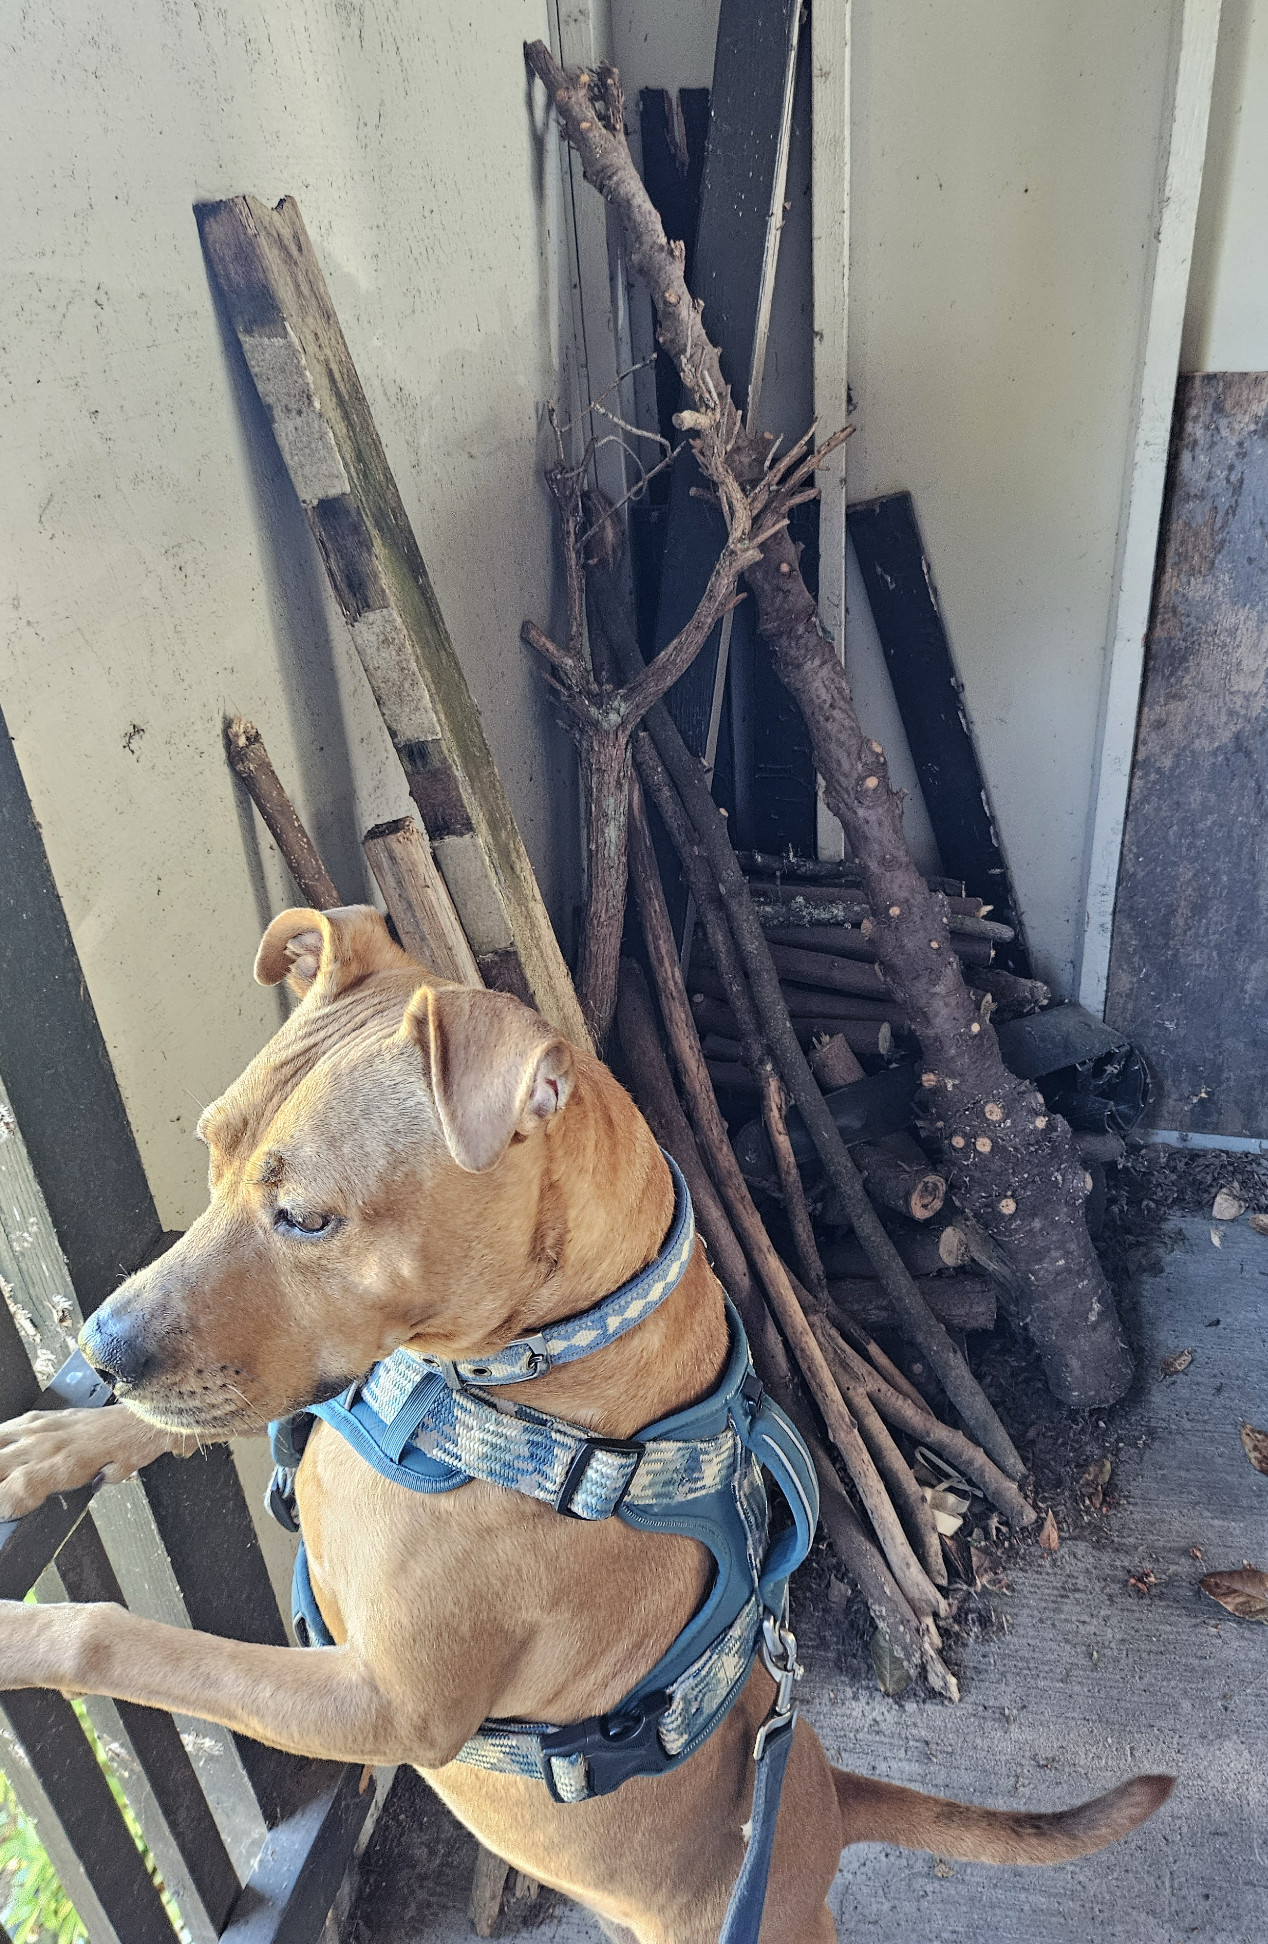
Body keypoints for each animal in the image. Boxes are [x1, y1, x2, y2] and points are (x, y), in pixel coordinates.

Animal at [0, 909, 1174, 1944]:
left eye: (308, 1218)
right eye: (211, 1148)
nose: (101, 1349)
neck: (516, 1376)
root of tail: (827, 1798)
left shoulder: (386, 1707)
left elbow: (124, 1636)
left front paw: (23, 1637)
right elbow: (191, 1422)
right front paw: (60, 1445)